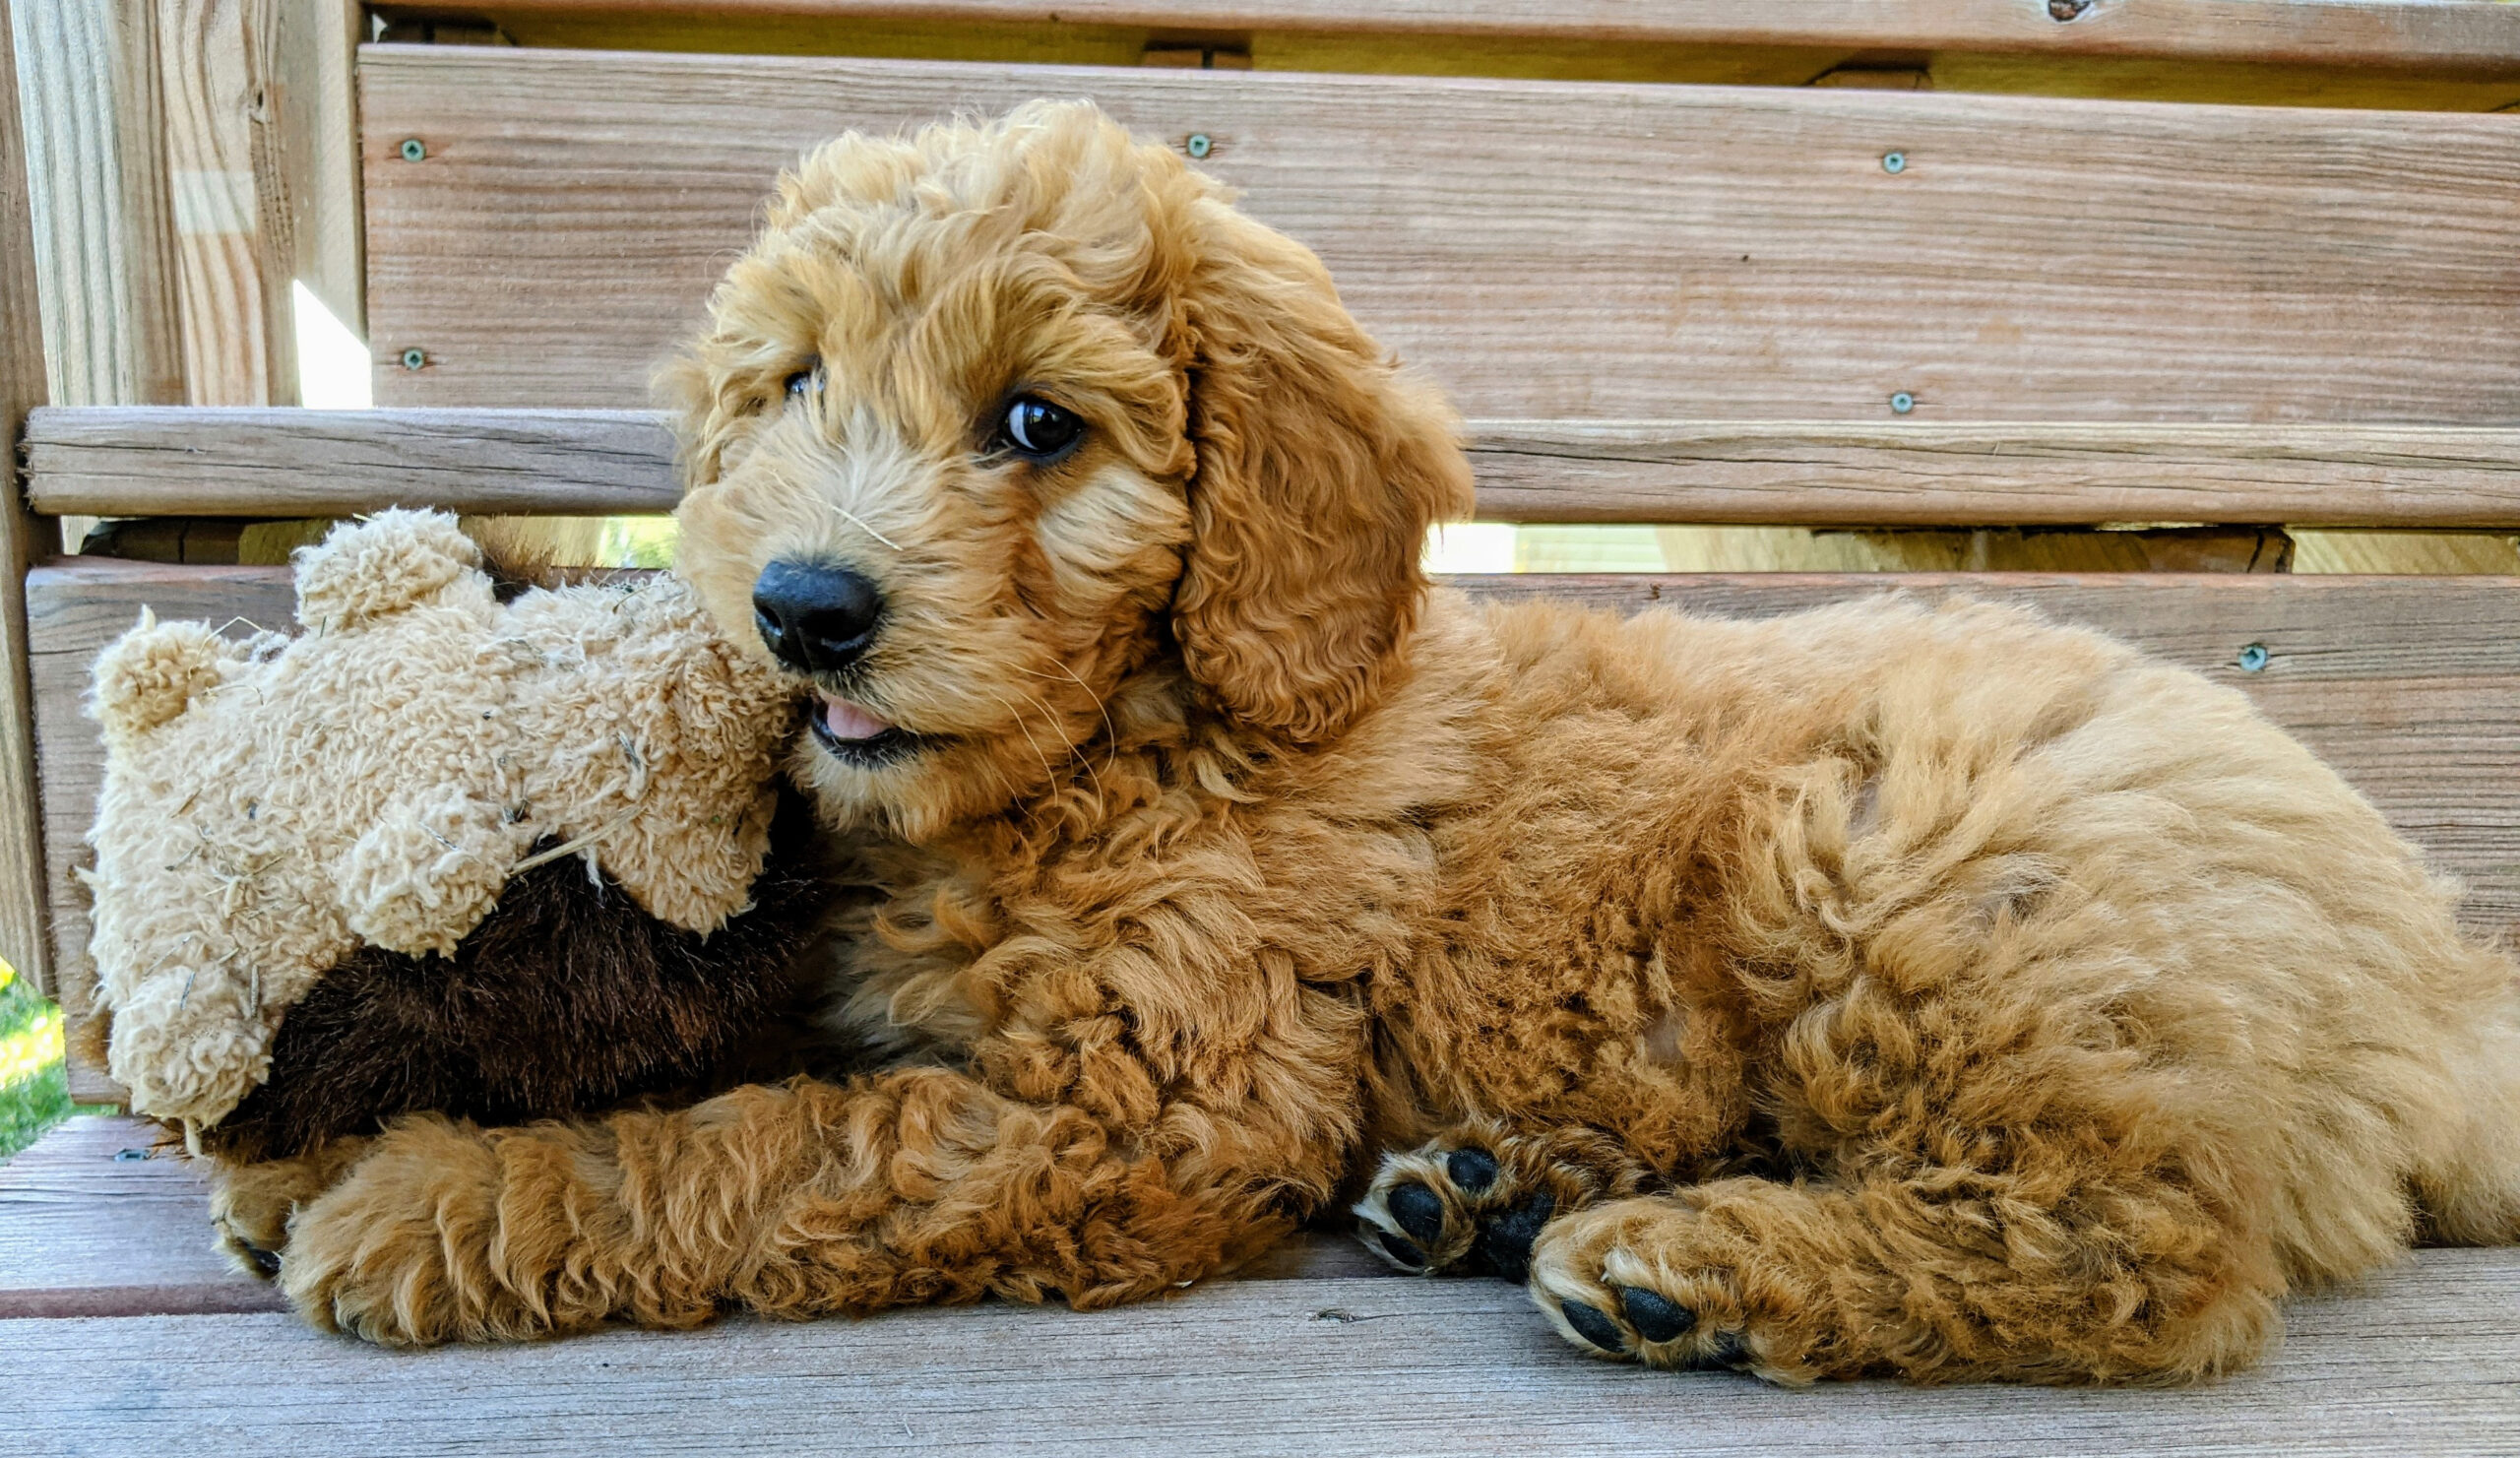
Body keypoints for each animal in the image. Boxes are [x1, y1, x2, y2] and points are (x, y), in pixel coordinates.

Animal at [276, 99, 2520, 1379]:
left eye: (1036, 423)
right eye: (796, 382)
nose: (807, 608)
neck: (1126, 742)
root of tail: (2434, 963)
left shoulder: (1149, 1105)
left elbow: (765, 1145)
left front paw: (429, 1200)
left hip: (1903, 862)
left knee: (2145, 1244)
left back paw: (1685, 1265)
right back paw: (1492, 1186)